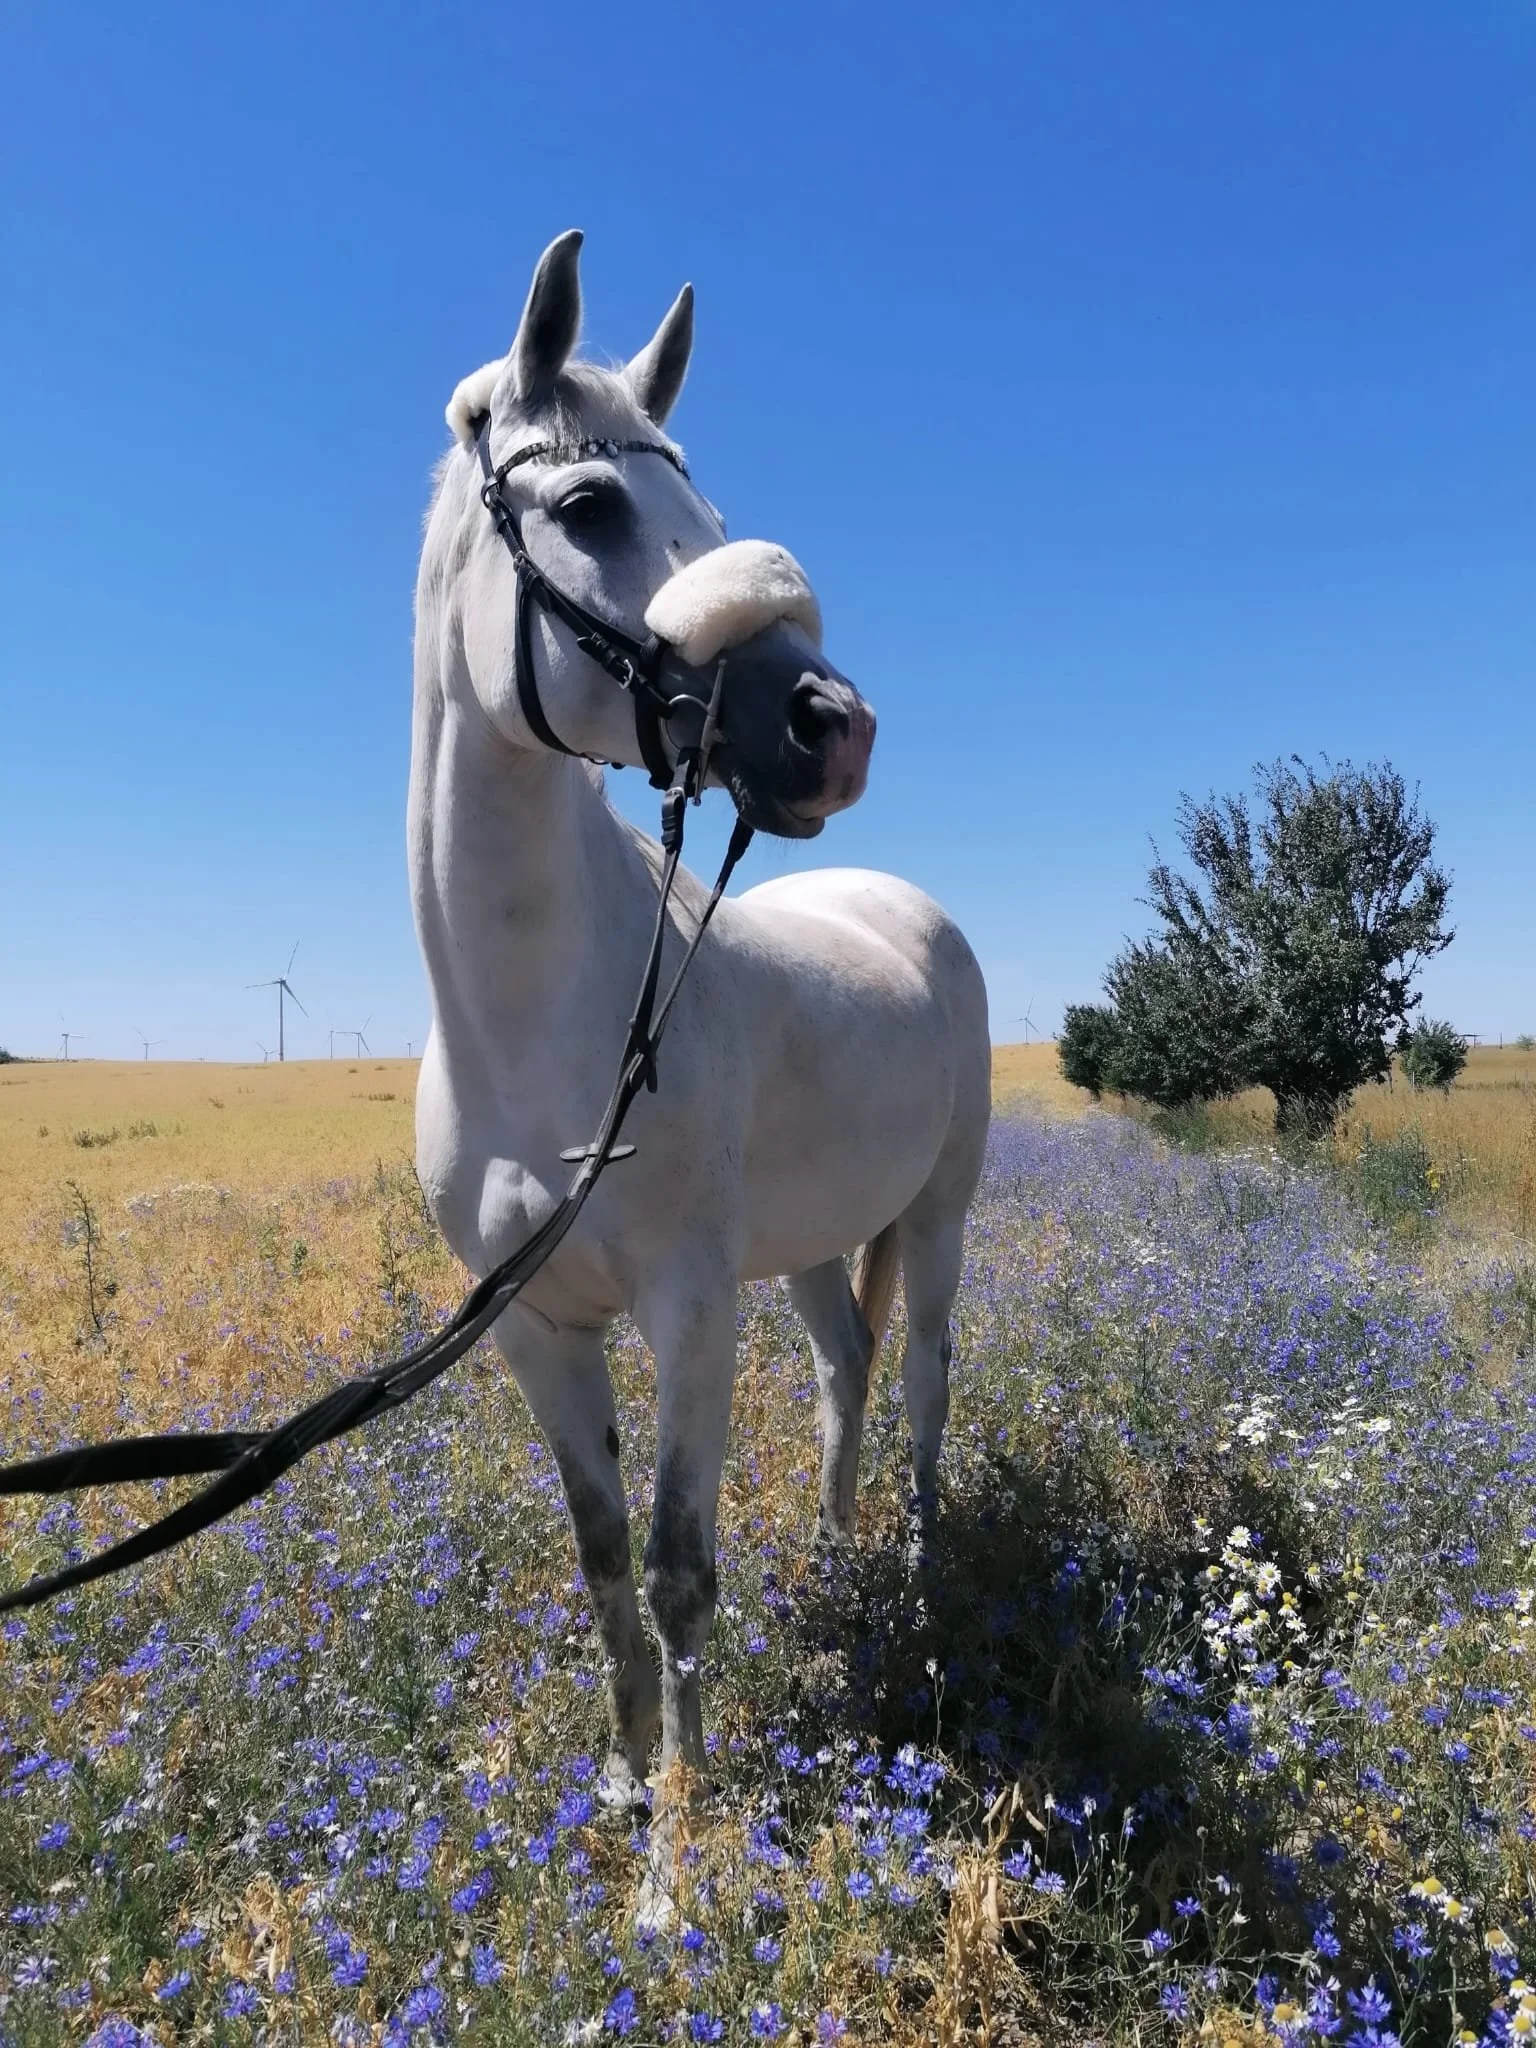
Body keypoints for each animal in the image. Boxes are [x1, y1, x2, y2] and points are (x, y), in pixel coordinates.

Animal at [409, 230, 990, 1834]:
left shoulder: (687, 1308)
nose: (832, 725)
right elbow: (605, 1553)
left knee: (922, 1384)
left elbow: (678, 1573)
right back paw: (844, 1559)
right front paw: (619, 1784)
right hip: (804, 1250)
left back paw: (918, 1576)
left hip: (936, 1218)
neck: (536, 1033)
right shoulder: (537, 1329)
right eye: (591, 505)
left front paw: (680, 1848)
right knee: (847, 1369)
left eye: (717, 518)